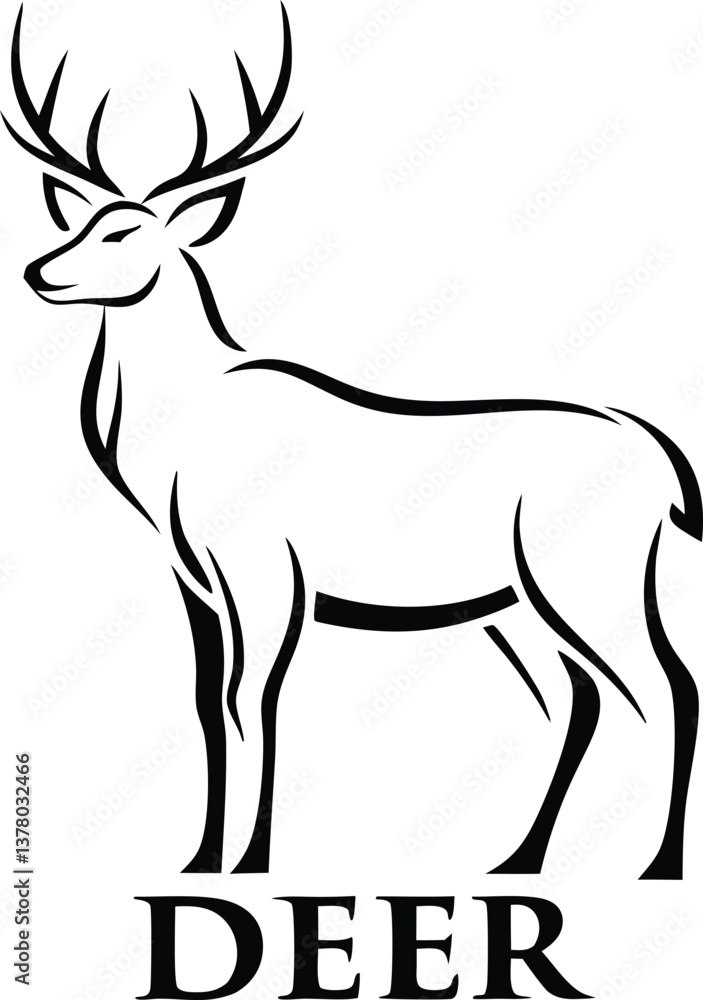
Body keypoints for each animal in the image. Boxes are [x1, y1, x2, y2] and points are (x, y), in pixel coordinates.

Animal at [3, 2, 700, 880]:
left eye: (125, 234)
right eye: (80, 220)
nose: (37, 271)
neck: (162, 460)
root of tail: (672, 475)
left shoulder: (268, 570)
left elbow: (253, 699)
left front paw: (252, 859)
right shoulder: (191, 579)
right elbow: (203, 703)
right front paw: (200, 857)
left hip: (587, 575)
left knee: (667, 686)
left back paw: (657, 863)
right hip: (510, 605)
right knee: (578, 698)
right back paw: (517, 858)